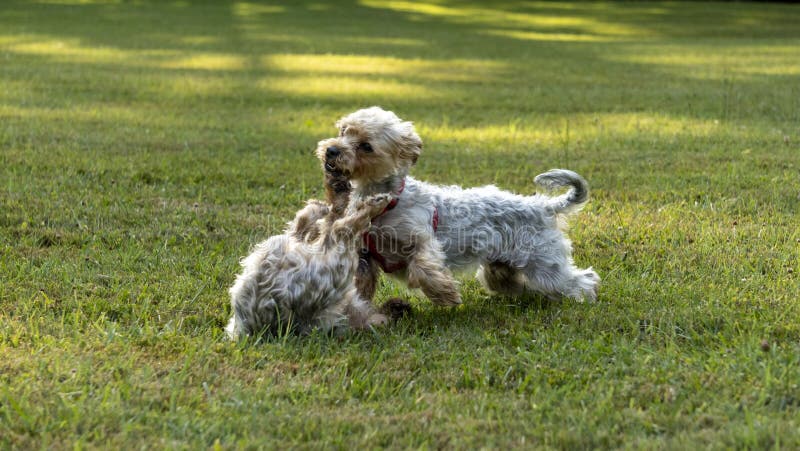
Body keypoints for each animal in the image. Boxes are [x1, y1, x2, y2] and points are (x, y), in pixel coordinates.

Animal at [318, 106, 600, 308]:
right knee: (511, 283)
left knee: (579, 279)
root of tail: (543, 206)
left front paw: (445, 294)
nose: (331, 150)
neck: (385, 201)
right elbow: (361, 284)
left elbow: (423, 268)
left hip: (544, 262)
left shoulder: (423, 240)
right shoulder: (364, 256)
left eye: (366, 146)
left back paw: (582, 300)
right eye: (343, 130)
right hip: (501, 268)